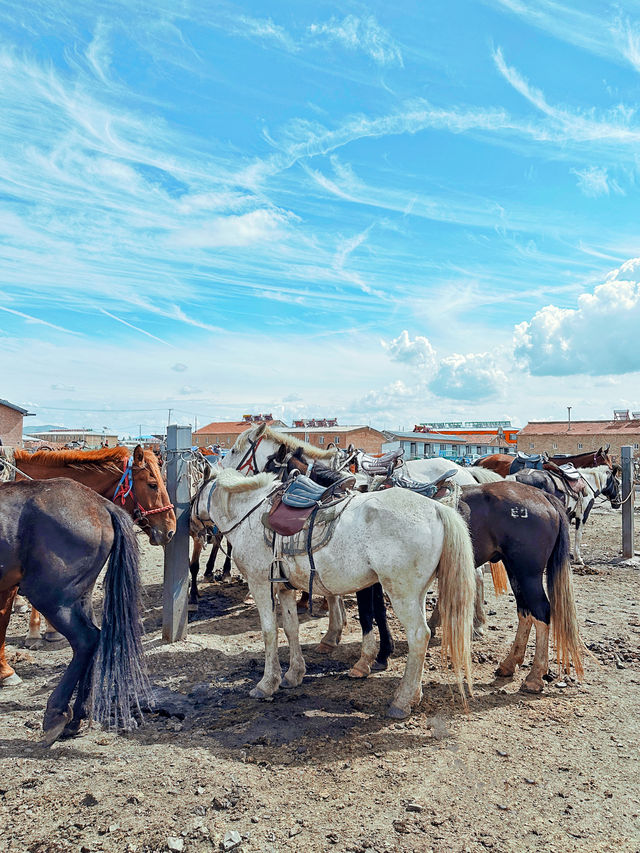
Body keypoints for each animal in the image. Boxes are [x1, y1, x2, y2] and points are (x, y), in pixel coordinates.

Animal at [0, 480, 151, 744]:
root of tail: (101, 505)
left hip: (52, 598)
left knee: (86, 639)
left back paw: (56, 714)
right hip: (79, 598)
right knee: (95, 639)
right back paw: (76, 717)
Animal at [192, 466, 478, 720]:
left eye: (194, 491)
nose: (194, 529)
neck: (250, 512)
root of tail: (437, 508)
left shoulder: (261, 584)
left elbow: (269, 632)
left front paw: (266, 684)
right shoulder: (284, 588)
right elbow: (291, 629)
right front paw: (293, 674)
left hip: (402, 594)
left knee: (419, 636)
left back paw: (402, 701)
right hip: (417, 593)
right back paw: (414, 694)